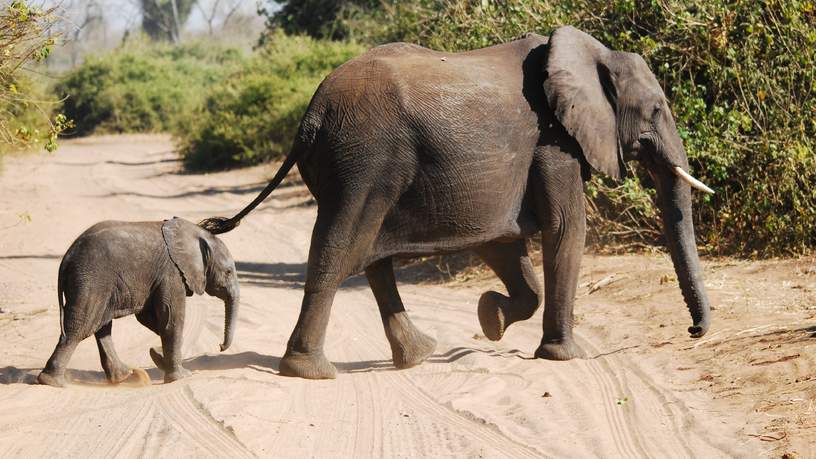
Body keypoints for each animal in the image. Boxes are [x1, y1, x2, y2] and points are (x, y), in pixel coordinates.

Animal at [38, 219, 239, 388]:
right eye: (228, 272)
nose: (220, 347)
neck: (194, 233)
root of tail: (66, 259)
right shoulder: (172, 273)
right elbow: (171, 319)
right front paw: (181, 377)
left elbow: (150, 318)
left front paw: (157, 354)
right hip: (91, 281)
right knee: (80, 327)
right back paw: (52, 382)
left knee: (101, 325)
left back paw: (125, 377)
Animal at [201, 25, 712, 380]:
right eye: (657, 110)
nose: (693, 332)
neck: (591, 54)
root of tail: (311, 114)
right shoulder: (554, 142)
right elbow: (567, 228)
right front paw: (563, 357)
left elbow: (502, 240)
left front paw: (491, 320)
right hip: (364, 159)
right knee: (340, 248)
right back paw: (311, 372)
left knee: (371, 256)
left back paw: (417, 357)